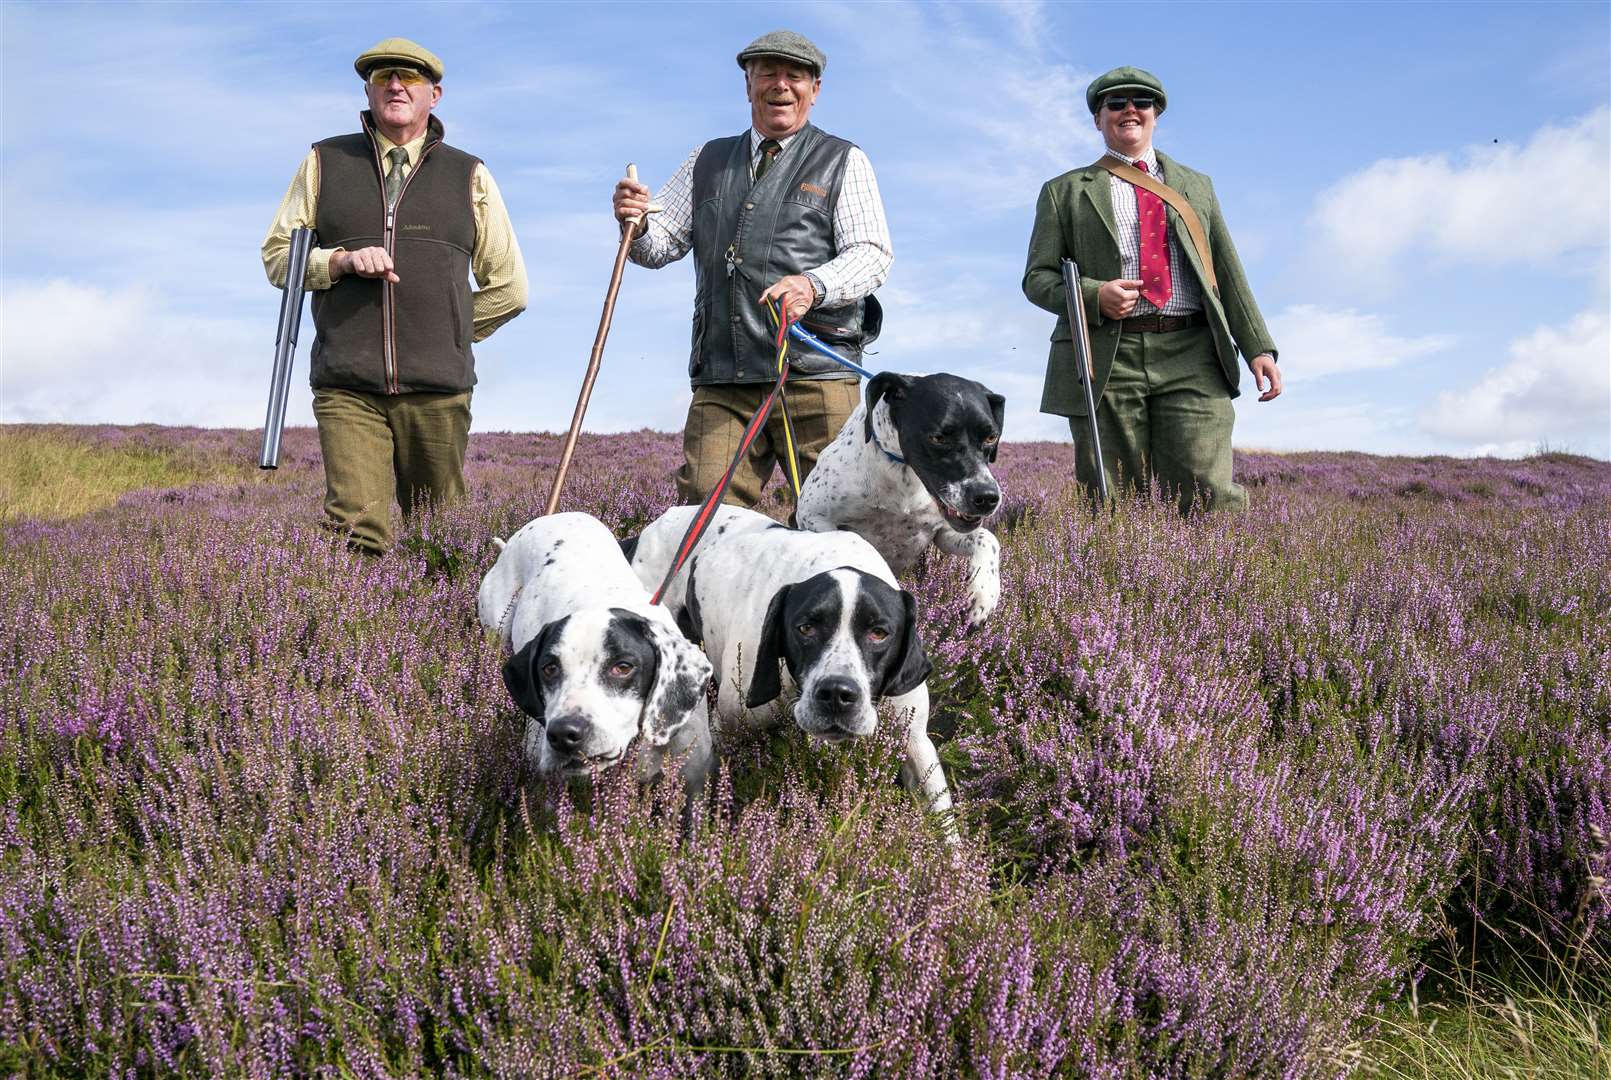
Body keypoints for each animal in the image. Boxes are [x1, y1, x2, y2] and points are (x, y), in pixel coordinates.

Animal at [795, 372, 1005, 631]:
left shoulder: (945, 534)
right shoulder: (812, 515)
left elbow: (988, 539)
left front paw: (983, 594)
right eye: (938, 438)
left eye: (991, 437)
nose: (987, 498)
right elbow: (845, 542)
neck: (901, 471)